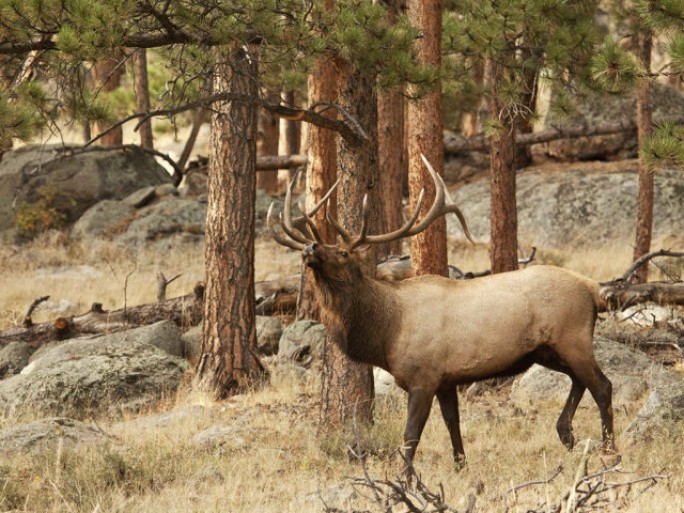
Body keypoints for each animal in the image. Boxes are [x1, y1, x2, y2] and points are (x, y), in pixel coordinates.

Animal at [268, 155, 616, 468]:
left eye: (342, 252)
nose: (309, 247)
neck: (387, 333)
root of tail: (593, 289)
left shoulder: (424, 376)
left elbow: (410, 437)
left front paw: (406, 481)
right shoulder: (447, 380)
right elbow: (453, 425)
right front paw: (461, 467)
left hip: (572, 337)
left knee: (602, 385)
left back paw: (609, 450)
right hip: (546, 350)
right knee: (580, 380)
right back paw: (566, 433)